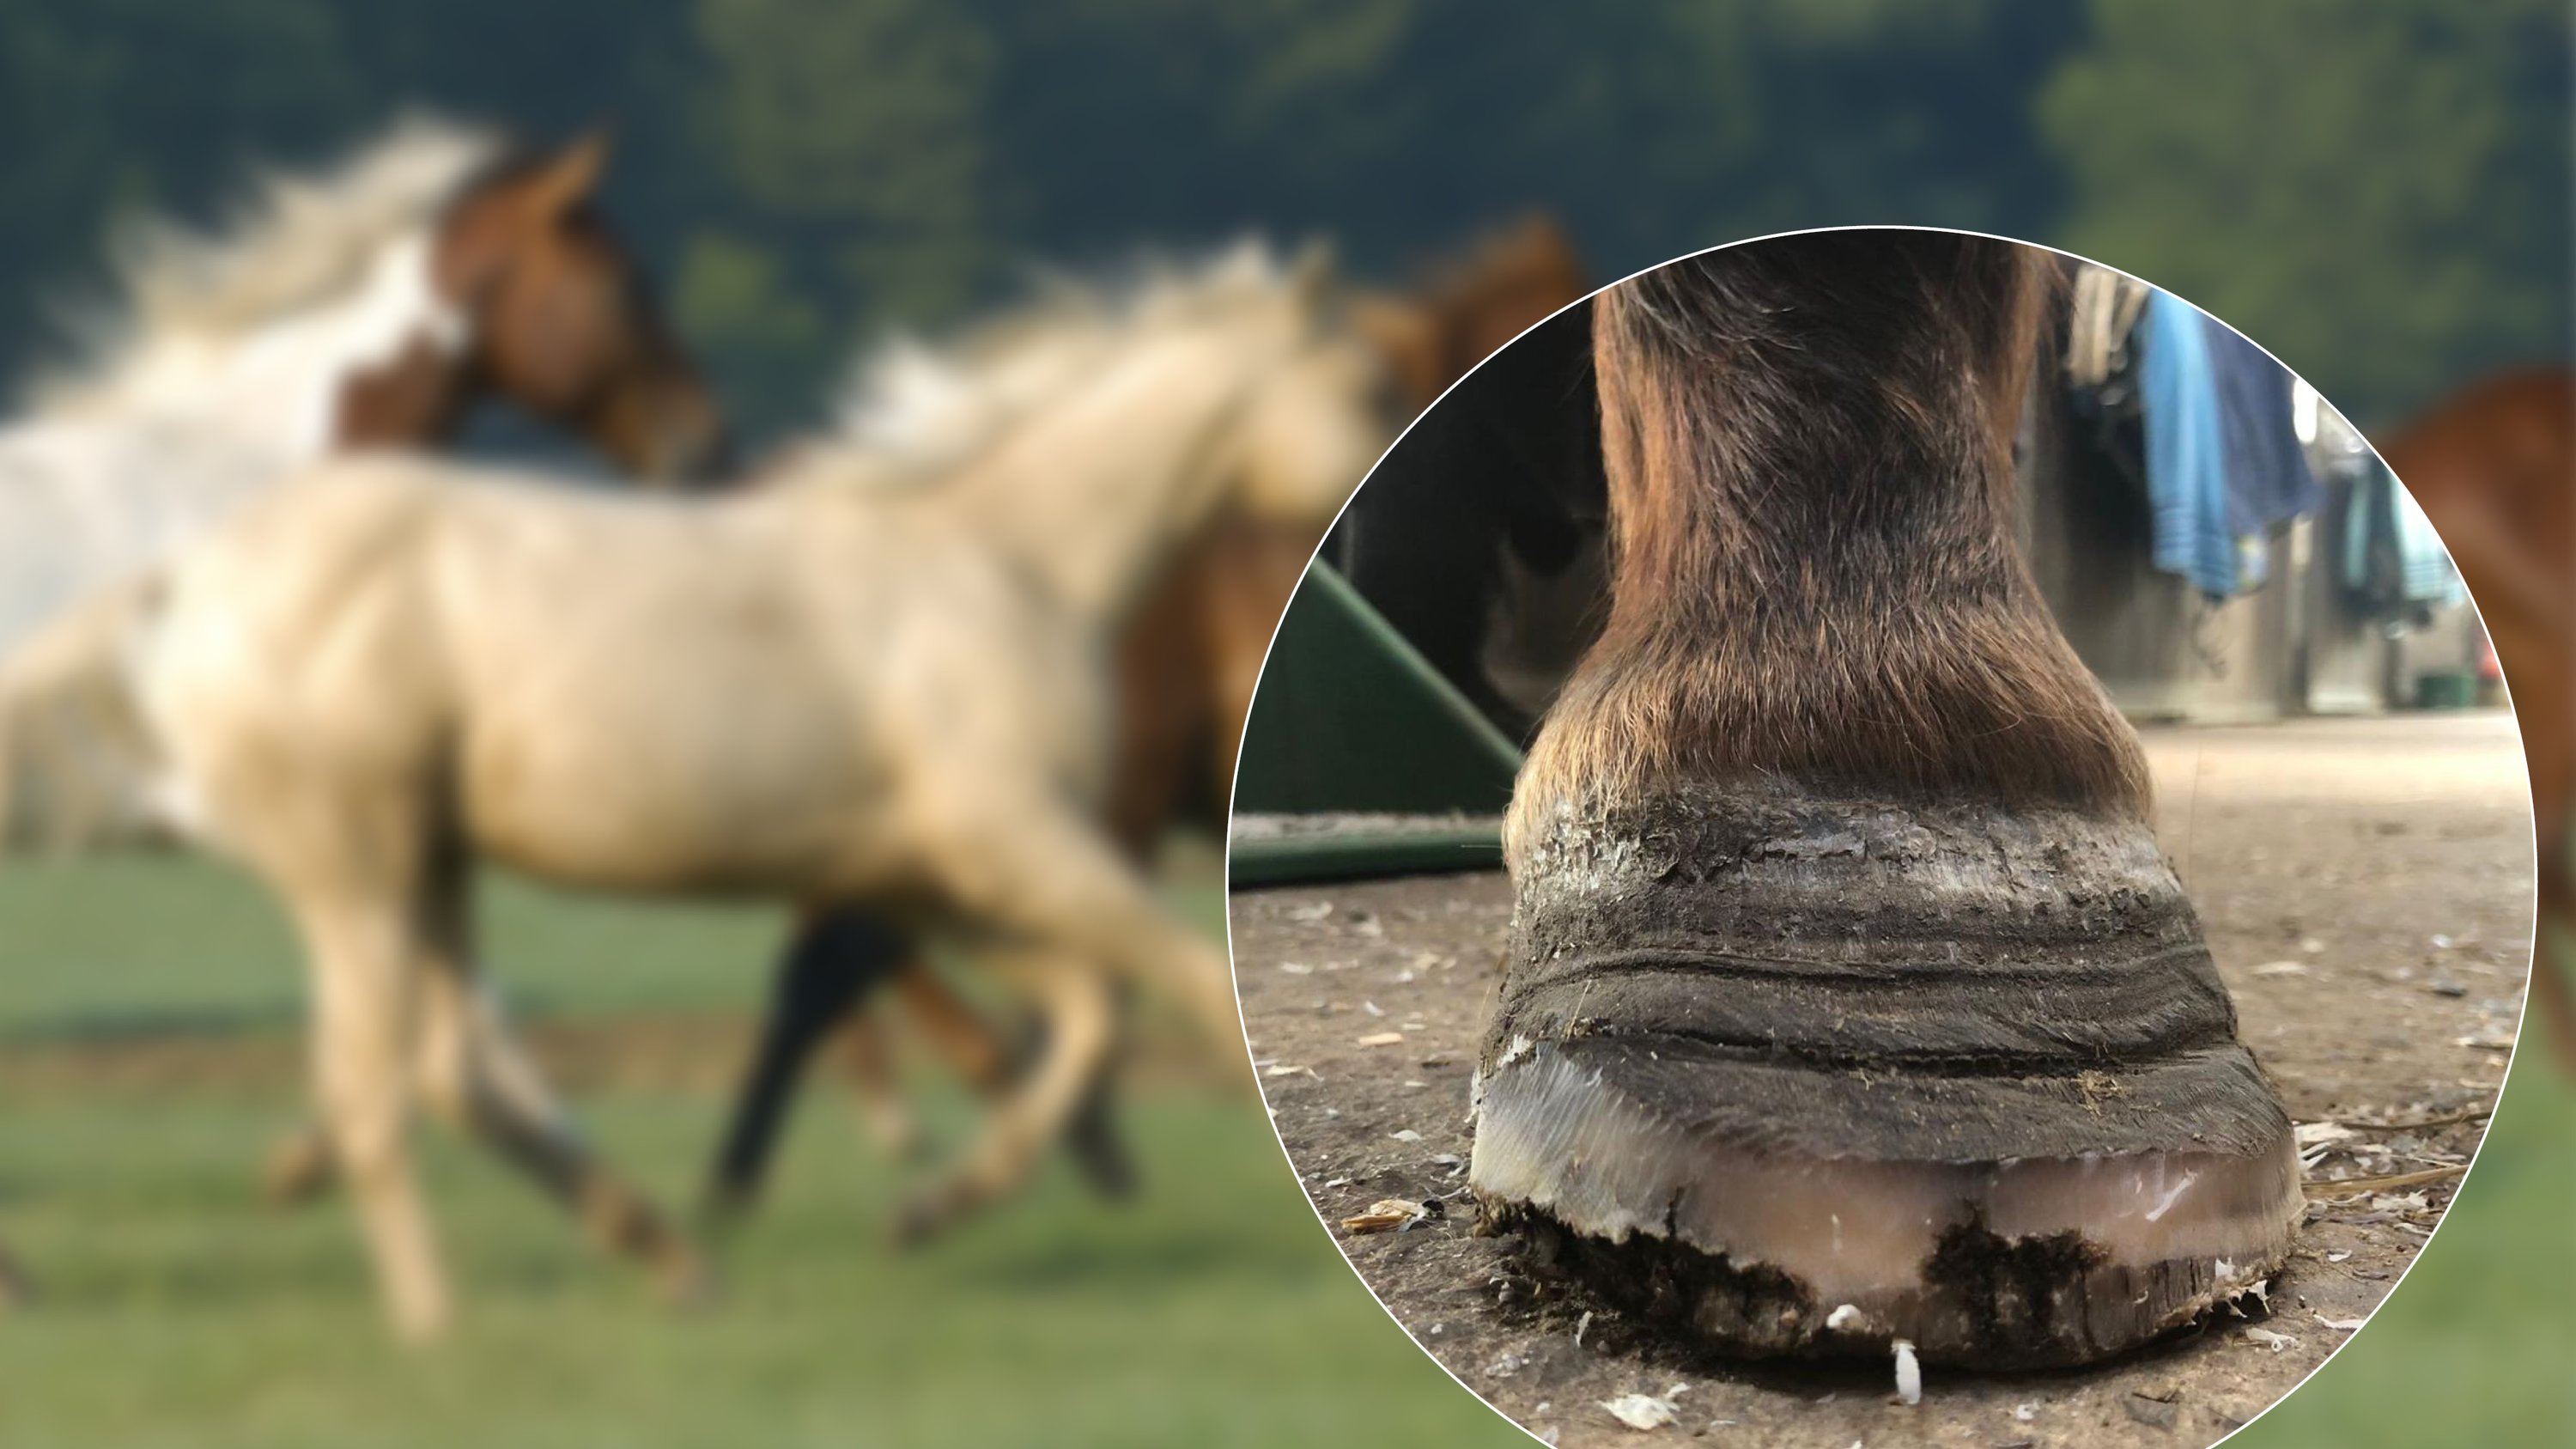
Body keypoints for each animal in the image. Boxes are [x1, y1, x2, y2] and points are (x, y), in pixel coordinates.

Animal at [4, 247, 1387, 1340]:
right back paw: (442, 1324)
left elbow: (1084, 1010)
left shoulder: (934, 874)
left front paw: (929, 1208)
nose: (1363, 520)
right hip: (358, 870)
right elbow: (1180, 986)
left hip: (426, 866)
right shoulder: (1016, 846)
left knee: (449, 1068)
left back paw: (667, 1260)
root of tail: (190, 574)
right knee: (378, 1088)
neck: (1003, 567)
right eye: (1359, 381)